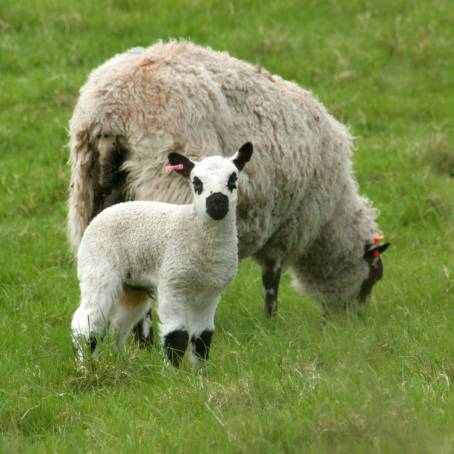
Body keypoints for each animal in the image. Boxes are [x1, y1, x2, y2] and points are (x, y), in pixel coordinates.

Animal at [67, 40, 390, 334]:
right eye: (373, 277)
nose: (354, 322)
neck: (331, 218)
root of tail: (114, 107)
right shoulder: (284, 225)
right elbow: (271, 280)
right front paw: (271, 322)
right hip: (165, 187)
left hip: (92, 193)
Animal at [70, 144, 252, 368]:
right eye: (196, 182)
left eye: (233, 179)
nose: (217, 203)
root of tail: (104, 213)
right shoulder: (172, 284)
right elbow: (176, 336)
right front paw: (173, 373)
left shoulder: (209, 294)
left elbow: (203, 338)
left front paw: (200, 373)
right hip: (98, 269)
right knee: (86, 323)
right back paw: (85, 366)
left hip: (133, 287)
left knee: (117, 326)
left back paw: (119, 360)